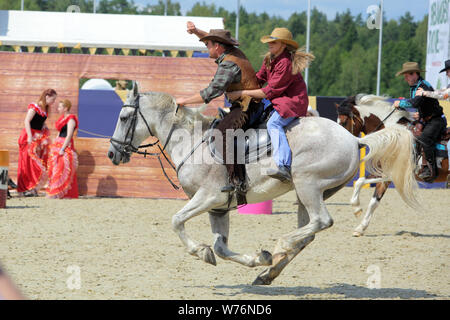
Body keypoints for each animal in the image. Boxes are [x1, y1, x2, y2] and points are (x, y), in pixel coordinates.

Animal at [108, 83, 418, 284]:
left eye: (123, 117)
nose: (112, 153)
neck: (192, 141)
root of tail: (353, 139)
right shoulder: (218, 208)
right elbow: (221, 248)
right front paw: (256, 259)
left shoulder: (207, 198)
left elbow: (176, 221)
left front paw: (200, 251)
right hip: (308, 193)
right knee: (309, 232)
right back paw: (269, 271)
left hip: (307, 184)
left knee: (321, 222)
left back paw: (280, 245)